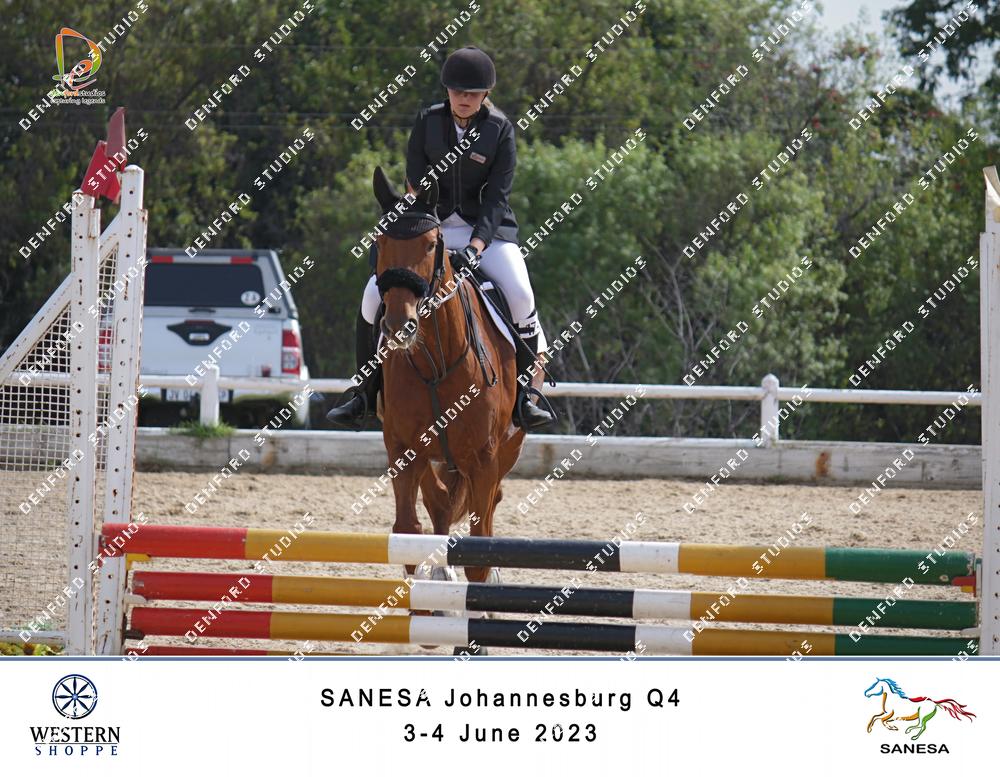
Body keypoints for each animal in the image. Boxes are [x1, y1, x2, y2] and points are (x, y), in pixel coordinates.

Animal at [371, 166, 534, 585]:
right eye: (380, 242)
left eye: (431, 245)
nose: (399, 326)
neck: (435, 363)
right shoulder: (402, 449)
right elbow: (408, 533)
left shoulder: (485, 457)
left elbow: (479, 549)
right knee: (441, 504)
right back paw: (443, 576)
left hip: (507, 448)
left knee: (487, 504)